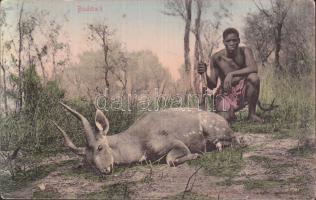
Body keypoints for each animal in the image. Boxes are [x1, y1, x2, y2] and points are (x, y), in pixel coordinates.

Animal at [52, 102, 239, 174]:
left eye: (100, 146)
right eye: (88, 161)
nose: (105, 170)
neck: (136, 142)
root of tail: (224, 121)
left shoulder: (176, 144)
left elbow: (170, 159)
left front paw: (196, 155)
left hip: (215, 130)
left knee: (236, 140)